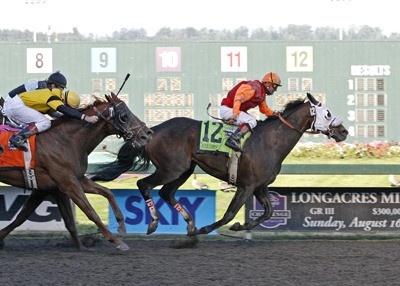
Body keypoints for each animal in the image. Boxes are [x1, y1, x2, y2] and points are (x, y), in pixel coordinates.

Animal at [0, 94, 152, 250]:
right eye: (124, 116)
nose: (146, 134)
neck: (65, 141)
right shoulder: (67, 183)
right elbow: (90, 211)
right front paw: (116, 241)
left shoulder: (68, 181)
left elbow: (106, 192)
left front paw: (121, 225)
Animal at [92, 92, 348, 239]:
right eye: (327, 113)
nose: (344, 131)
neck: (270, 141)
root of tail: (151, 130)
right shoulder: (246, 185)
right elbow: (229, 213)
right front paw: (214, 228)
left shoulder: (260, 186)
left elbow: (269, 212)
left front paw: (241, 227)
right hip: (171, 168)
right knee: (144, 185)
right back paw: (156, 223)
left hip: (184, 169)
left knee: (166, 192)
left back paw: (190, 224)